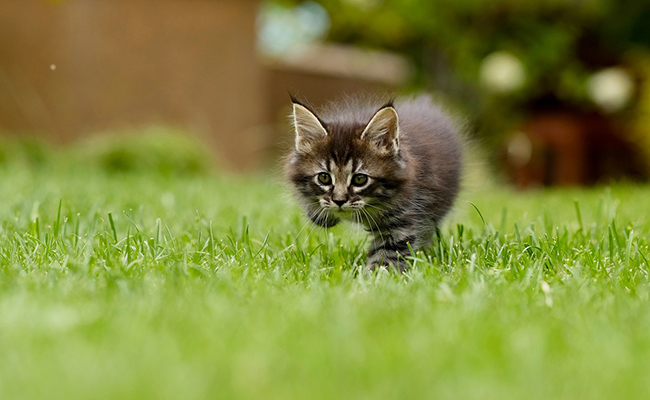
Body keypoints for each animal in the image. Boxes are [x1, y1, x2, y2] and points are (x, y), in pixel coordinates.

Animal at [284, 94, 460, 272]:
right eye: (324, 178)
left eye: (360, 179)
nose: (339, 201)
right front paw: (321, 214)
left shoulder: (400, 219)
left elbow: (388, 256)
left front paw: (372, 276)